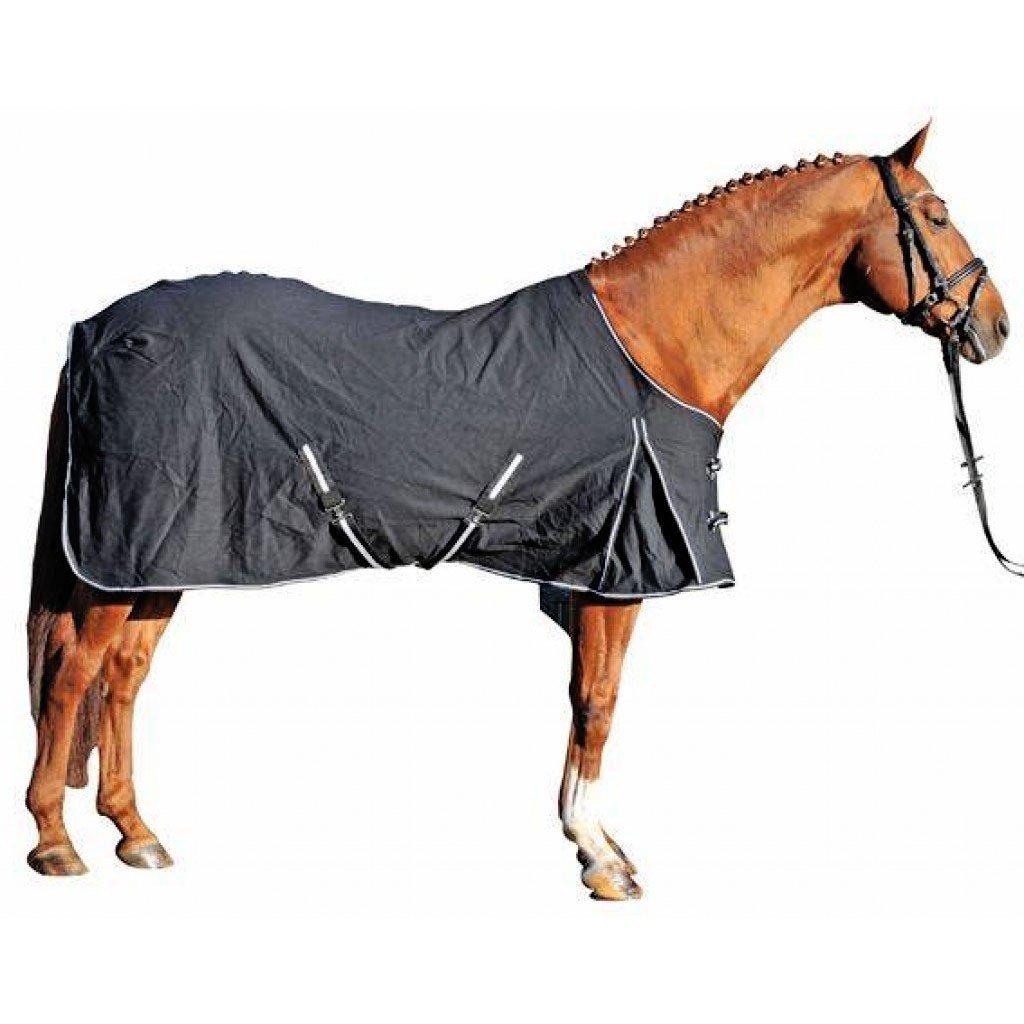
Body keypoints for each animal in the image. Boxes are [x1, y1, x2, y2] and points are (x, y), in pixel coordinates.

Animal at [26, 124, 1011, 899]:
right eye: (933, 214)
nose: (994, 327)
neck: (654, 343)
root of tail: (94, 328)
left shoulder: (589, 573)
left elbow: (583, 701)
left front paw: (592, 842)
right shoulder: (621, 570)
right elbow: (599, 703)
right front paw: (600, 858)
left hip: (164, 554)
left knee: (125, 677)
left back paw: (137, 836)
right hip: (128, 547)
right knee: (75, 671)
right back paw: (56, 843)